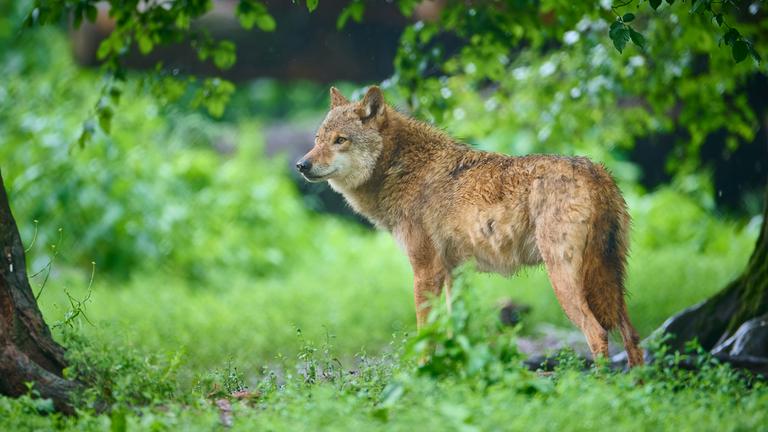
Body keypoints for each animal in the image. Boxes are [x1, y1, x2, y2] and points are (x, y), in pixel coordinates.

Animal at [296, 86, 644, 367]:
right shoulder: (456, 272)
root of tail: (597, 173)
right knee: (632, 336)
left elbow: (426, 334)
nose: (301, 165)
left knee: (597, 334)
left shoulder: (426, 271)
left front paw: (422, 377)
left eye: (340, 140)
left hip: (564, 279)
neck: (404, 169)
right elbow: (455, 330)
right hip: (611, 280)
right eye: (317, 140)